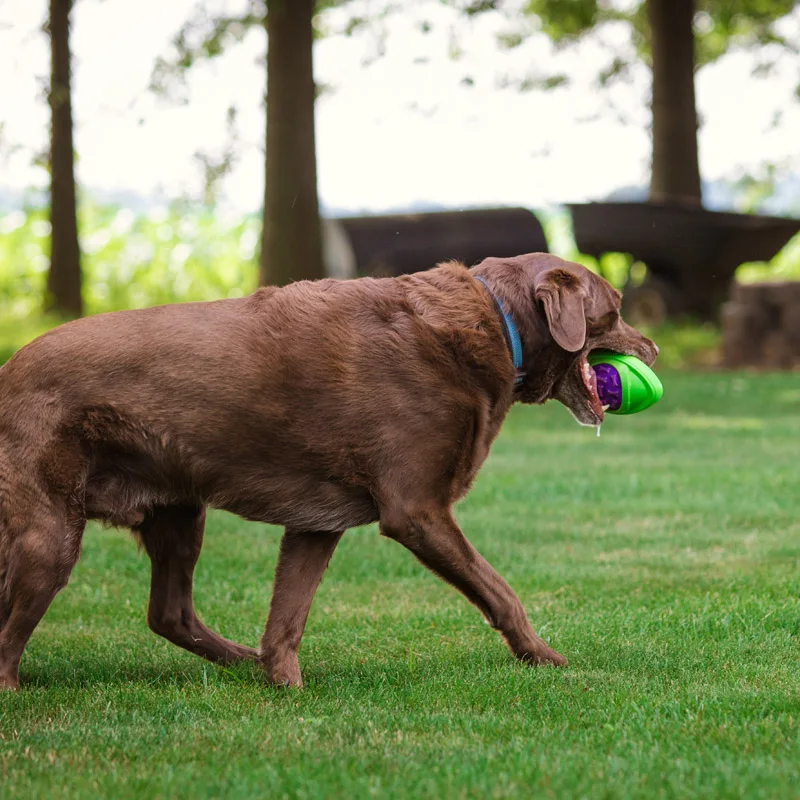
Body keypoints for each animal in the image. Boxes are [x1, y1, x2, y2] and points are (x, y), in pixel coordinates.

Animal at [0, 252, 656, 688]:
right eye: (616, 310)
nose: (651, 348)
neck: (496, 323)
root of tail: (9, 368)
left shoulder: (316, 525)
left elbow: (287, 617)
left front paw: (283, 683)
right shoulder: (417, 511)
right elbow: (499, 590)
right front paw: (543, 656)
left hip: (178, 513)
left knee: (169, 613)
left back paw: (241, 661)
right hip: (50, 534)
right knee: (12, 634)